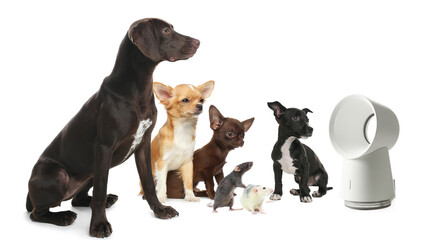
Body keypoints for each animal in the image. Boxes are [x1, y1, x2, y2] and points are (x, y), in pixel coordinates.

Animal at [27, 18, 199, 238]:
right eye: (166, 30)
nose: (198, 42)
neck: (138, 89)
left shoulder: (143, 145)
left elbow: (148, 183)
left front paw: (159, 209)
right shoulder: (104, 147)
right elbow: (100, 191)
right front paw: (98, 225)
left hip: (91, 172)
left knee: (77, 199)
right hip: (60, 174)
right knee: (37, 213)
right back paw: (63, 216)